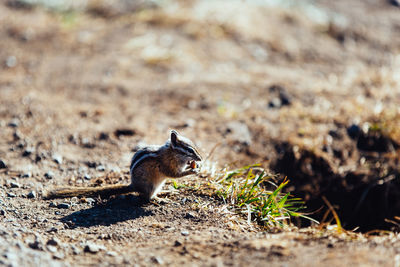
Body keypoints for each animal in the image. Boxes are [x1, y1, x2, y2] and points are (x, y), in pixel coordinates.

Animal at [43, 131, 203, 202]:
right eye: (189, 150)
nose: (200, 158)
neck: (173, 153)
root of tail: (133, 185)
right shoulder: (168, 166)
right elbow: (175, 175)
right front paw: (193, 170)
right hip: (152, 185)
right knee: (148, 197)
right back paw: (161, 199)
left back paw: (166, 191)